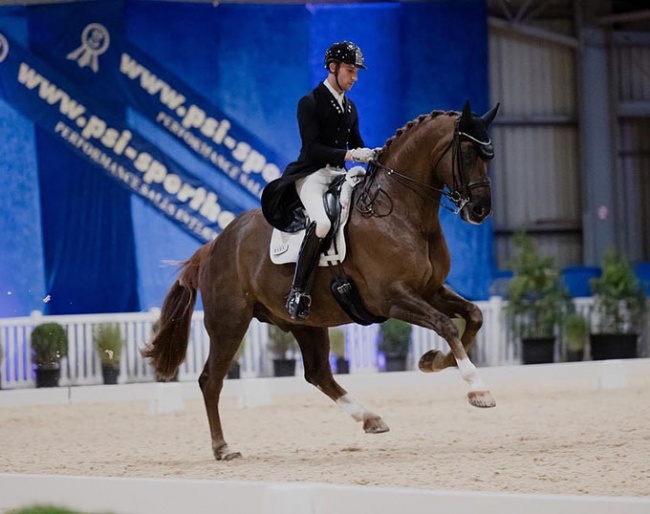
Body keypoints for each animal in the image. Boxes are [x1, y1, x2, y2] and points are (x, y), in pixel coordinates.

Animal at [142, 100, 496, 460]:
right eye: (468, 153)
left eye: (490, 154)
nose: (481, 210)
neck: (400, 212)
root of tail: (213, 245)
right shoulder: (393, 298)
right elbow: (446, 325)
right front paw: (477, 390)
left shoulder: (429, 289)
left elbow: (474, 317)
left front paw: (433, 361)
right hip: (229, 323)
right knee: (210, 380)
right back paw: (223, 448)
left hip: (305, 322)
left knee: (317, 373)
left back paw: (370, 418)